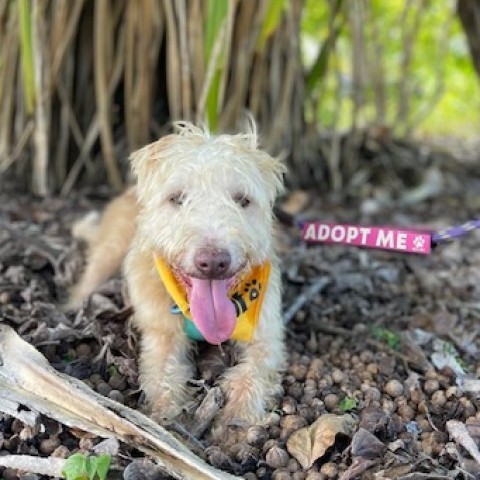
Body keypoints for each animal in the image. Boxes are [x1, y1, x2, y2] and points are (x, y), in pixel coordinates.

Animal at [69, 122, 286, 430]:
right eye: (177, 198)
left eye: (242, 200)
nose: (213, 262)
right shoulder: (160, 333)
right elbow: (162, 375)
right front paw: (167, 418)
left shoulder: (267, 336)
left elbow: (254, 370)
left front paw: (236, 418)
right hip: (107, 254)